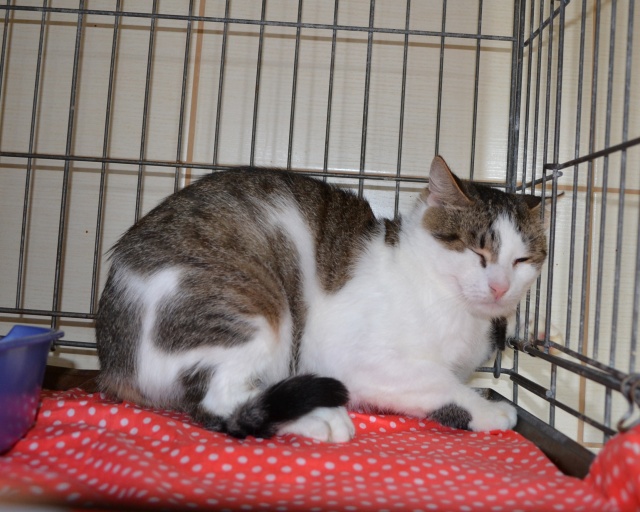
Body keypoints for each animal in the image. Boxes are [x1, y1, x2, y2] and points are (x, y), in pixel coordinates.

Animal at [95, 156, 547, 442]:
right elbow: (436, 380)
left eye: (522, 260)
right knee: (219, 404)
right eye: (478, 252)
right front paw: (486, 409)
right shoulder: (356, 358)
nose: (500, 287)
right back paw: (316, 420)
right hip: (251, 306)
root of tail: (113, 358)